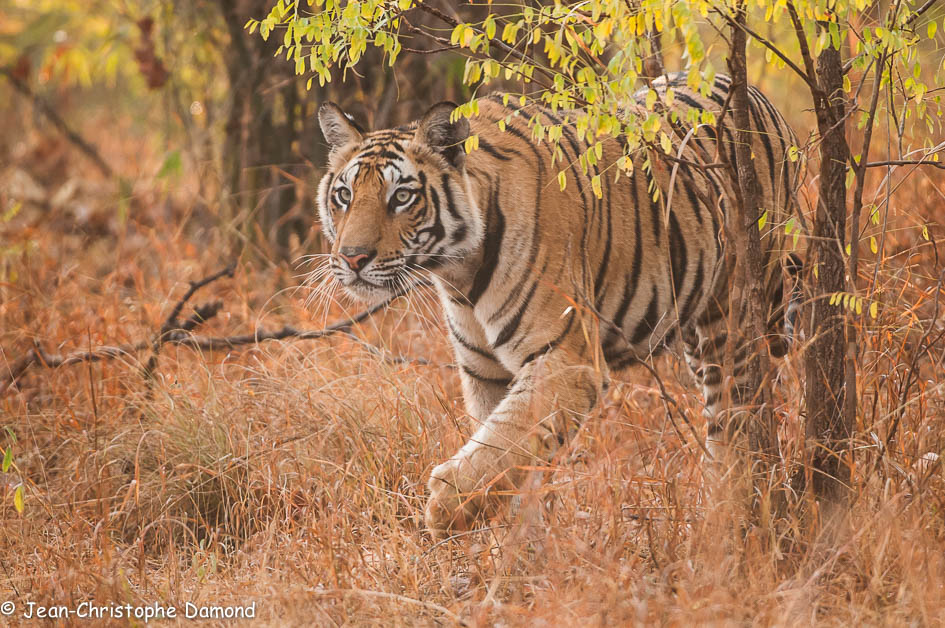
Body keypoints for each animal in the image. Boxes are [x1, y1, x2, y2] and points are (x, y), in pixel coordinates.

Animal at [314, 72, 792, 536]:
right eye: (344, 196)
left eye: (401, 197)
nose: (352, 258)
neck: (458, 274)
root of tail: (754, 94)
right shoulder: (485, 372)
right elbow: (511, 451)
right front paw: (517, 547)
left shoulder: (565, 359)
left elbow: (503, 441)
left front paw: (445, 507)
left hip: (734, 317)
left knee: (736, 417)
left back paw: (730, 517)